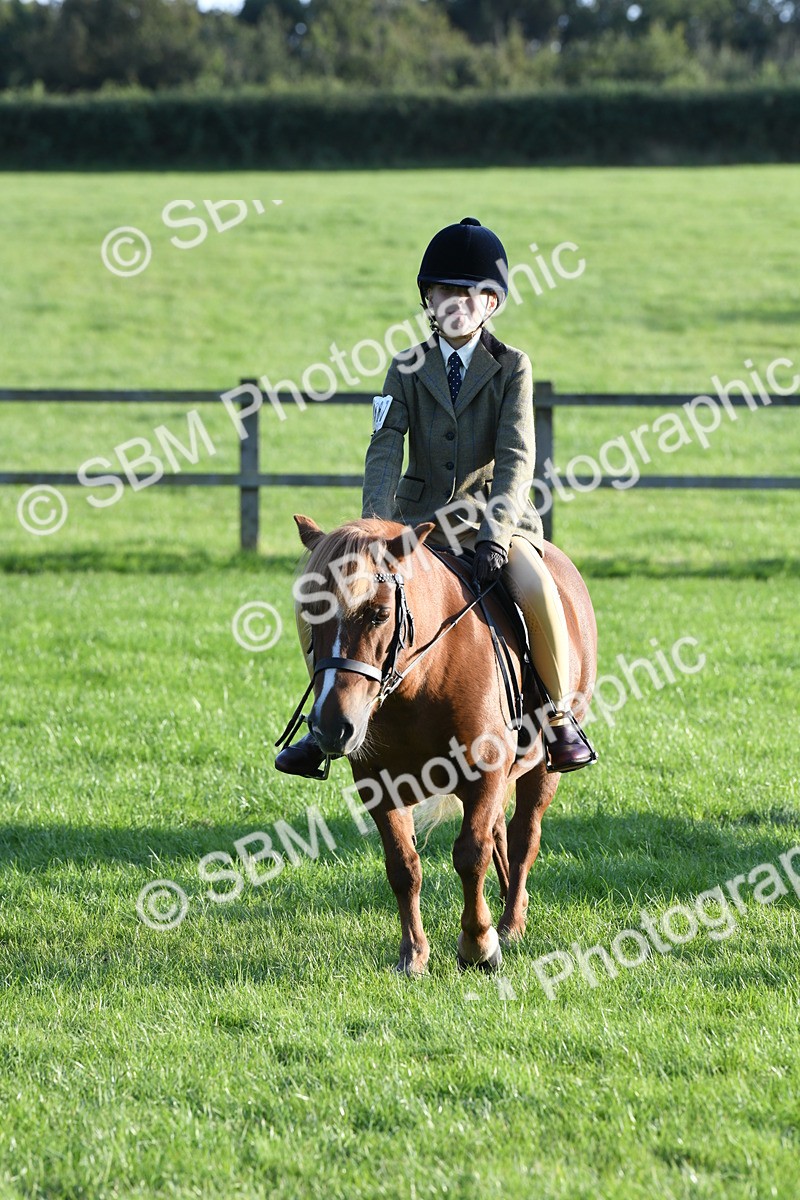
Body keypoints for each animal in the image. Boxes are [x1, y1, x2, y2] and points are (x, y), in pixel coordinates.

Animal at [287, 513, 597, 976]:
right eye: (310, 613)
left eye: (380, 614)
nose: (330, 728)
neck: (423, 679)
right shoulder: (380, 786)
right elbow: (403, 866)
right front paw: (413, 954)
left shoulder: (485, 772)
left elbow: (470, 855)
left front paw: (478, 946)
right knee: (499, 832)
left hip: (542, 771)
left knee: (523, 836)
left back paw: (510, 922)